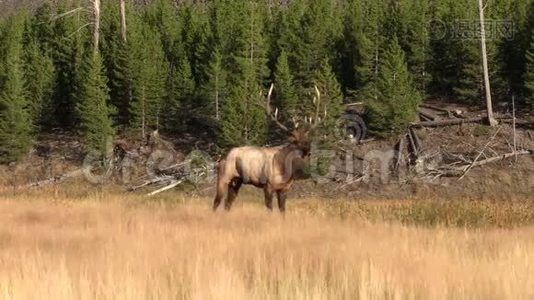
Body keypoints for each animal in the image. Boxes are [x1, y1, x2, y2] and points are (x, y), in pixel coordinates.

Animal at [215, 83, 326, 212]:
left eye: (307, 141)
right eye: (295, 142)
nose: (307, 151)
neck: (285, 172)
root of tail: (222, 158)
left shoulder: (284, 188)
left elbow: (283, 211)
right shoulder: (268, 185)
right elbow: (270, 209)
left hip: (237, 181)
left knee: (228, 204)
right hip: (224, 176)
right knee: (216, 202)